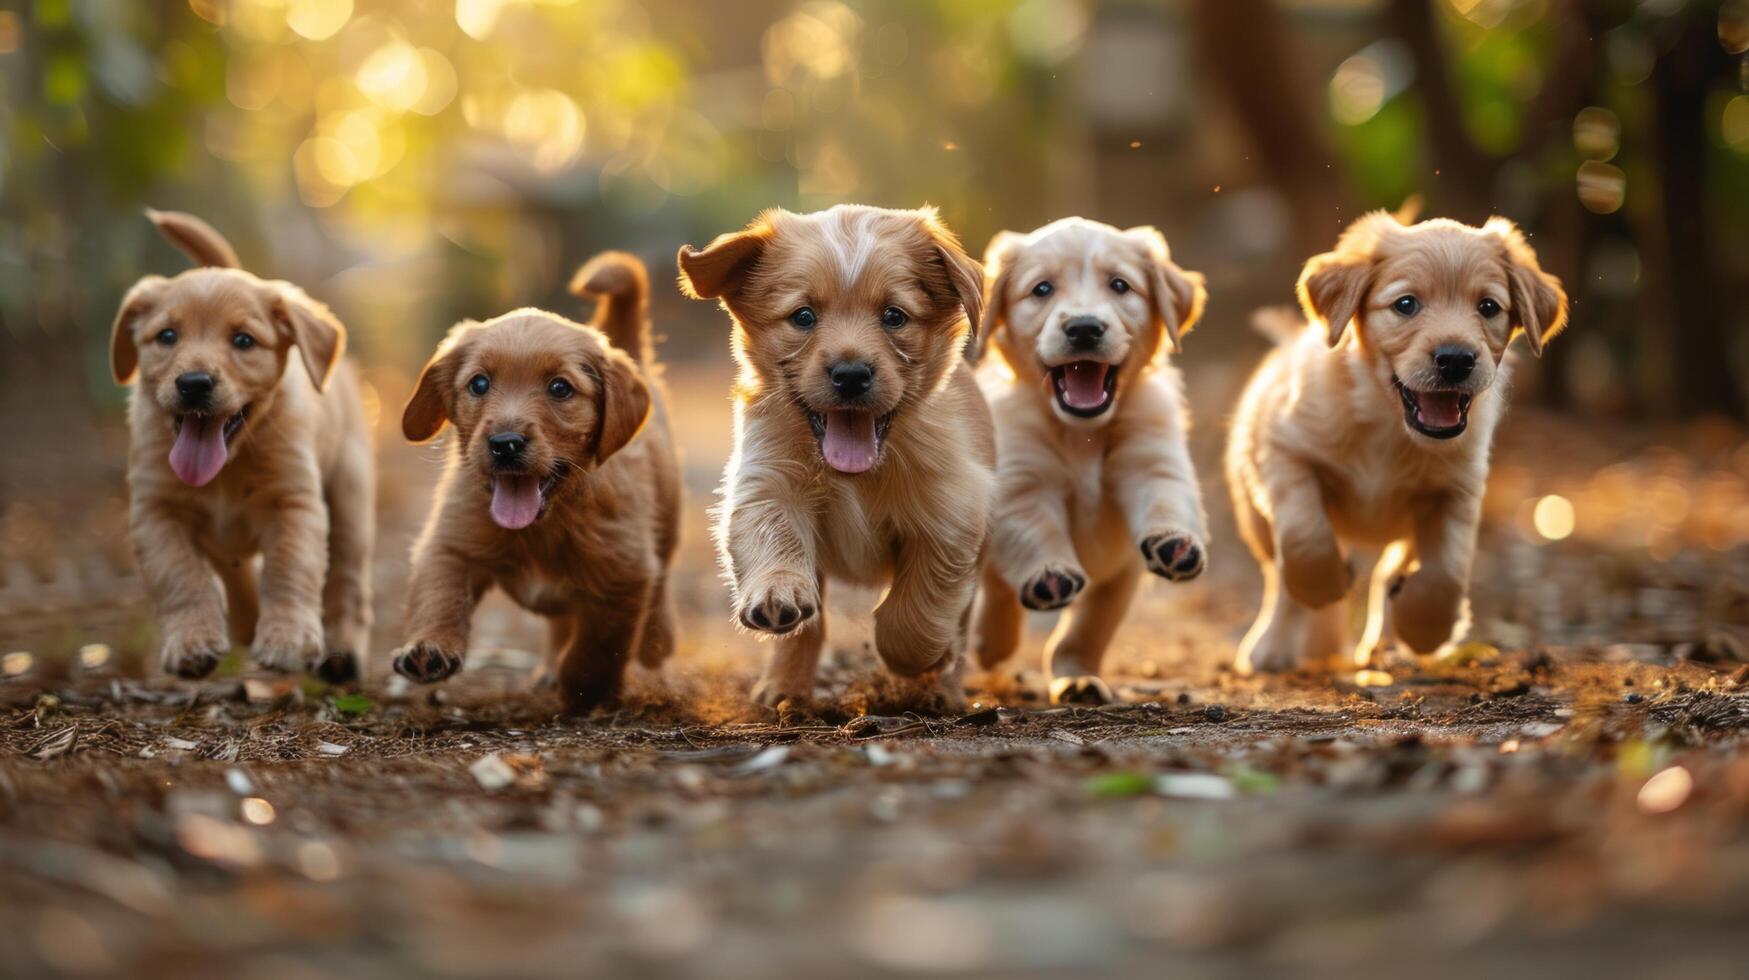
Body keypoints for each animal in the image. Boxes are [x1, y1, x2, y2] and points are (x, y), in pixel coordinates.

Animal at [108, 208, 372, 682]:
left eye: (244, 340)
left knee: (348, 580)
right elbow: (180, 576)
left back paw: (342, 654)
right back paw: (247, 625)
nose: (194, 384)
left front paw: (287, 639)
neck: (227, 468)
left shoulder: (295, 503)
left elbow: (289, 569)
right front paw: (192, 641)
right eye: (167, 336)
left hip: (350, 498)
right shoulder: (155, 511)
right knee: (235, 572)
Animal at [393, 252, 678, 710]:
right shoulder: (451, 542)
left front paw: (582, 689)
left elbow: (600, 645)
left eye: (560, 388)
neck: (546, 523)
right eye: (479, 383)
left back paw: (655, 647)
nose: (505, 444)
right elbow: (439, 594)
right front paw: (429, 646)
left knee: (658, 598)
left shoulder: (625, 574)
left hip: (666, 535)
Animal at [675, 204, 993, 710]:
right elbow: (770, 534)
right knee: (808, 625)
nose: (851, 374)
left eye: (894, 316)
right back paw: (783, 687)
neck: (855, 475)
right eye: (803, 316)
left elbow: (920, 607)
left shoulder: (953, 512)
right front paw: (777, 588)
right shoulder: (765, 482)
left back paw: (944, 688)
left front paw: (918, 660)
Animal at [979, 217, 1210, 703]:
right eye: (1042, 289)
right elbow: (1036, 532)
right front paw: (1048, 574)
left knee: (1090, 624)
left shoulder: (1152, 458)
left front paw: (1174, 542)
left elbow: (1166, 498)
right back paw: (989, 643)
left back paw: (1078, 678)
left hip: (1117, 580)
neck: (1081, 434)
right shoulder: (1021, 481)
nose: (1084, 328)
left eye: (1120, 285)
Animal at [1231, 212, 1574, 672]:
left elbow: (1446, 571)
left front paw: (1425, 629)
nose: (1455, 359)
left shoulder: (1456, 491)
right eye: (1406, 304)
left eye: (1488, 307)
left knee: (1386, 575)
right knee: (1278, 576)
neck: (1390, 424)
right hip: (1254, 517)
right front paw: (1323, 586)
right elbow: (1305, 539)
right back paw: (1279, 646)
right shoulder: (1284, 450)